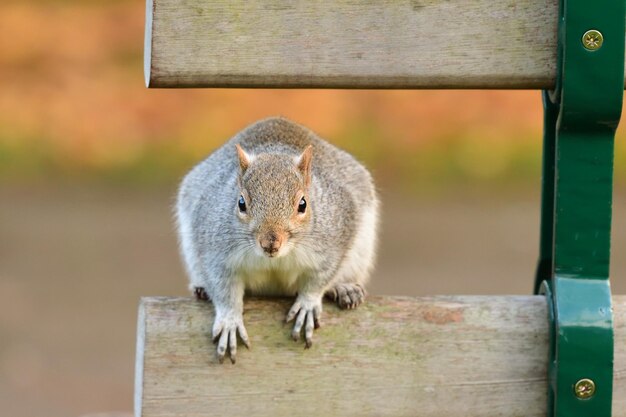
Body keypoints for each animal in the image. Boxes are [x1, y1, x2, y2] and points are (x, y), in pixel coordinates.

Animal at [176, 116, 380, 360]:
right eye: (241, 203)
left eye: (303, 204)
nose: (270, 243)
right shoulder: (214, 250)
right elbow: (223, 287)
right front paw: (230, 320)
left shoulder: (335, 240)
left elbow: (319, 278)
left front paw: (308, 304)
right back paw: (201, 289)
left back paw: (345, 288)